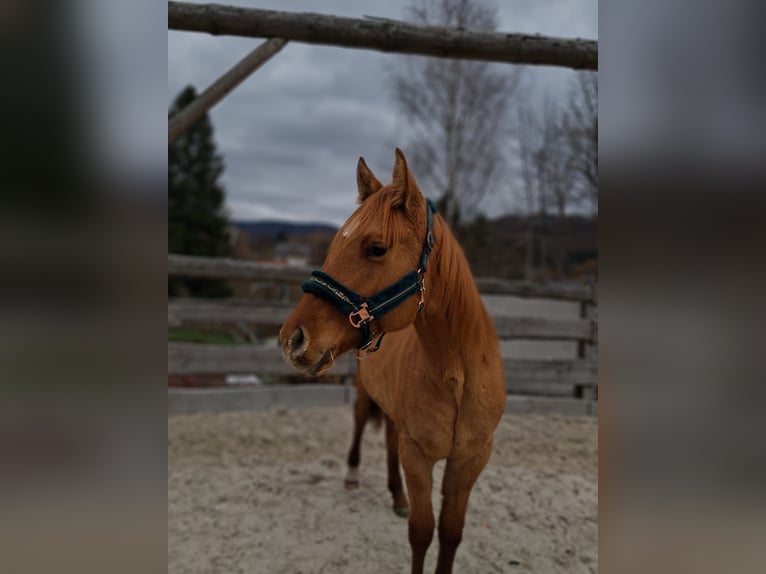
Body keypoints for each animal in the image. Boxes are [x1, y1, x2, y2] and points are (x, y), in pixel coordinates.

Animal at [279, 149, 506, 574]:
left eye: (376, 248)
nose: (292, 339)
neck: (459, 376)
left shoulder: (469, 461)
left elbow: (450, 534)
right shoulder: (417, 455)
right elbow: (421, 532)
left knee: (387, 440)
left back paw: (397, 496)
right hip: (365, 395)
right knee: (359, 428)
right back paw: (354, 476)